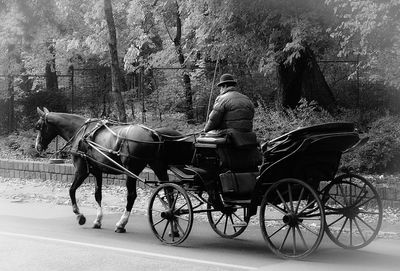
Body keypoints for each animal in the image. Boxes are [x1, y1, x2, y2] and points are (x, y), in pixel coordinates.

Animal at [34, 108, 184, 234]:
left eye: (38, 126)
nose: (37, 147)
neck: (80, 131)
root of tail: (152, 133)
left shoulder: (82, 171)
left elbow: (71, 190)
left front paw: (79, 215)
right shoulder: (97, 171)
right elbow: (97, 195)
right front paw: (98, 220)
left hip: (131, 171)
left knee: (132, 196)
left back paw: (121, 223)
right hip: (158, 167)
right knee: (169, 192)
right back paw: (173, 225)